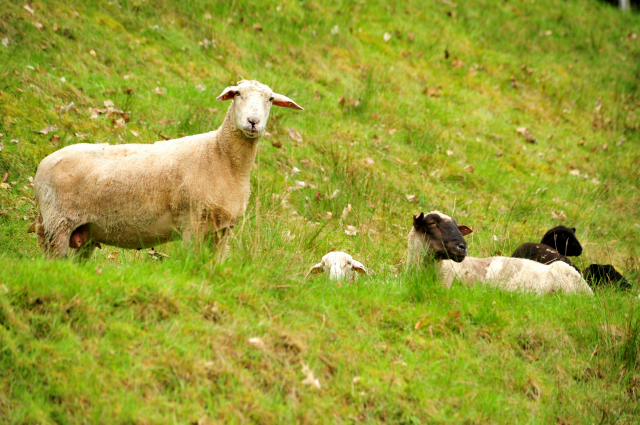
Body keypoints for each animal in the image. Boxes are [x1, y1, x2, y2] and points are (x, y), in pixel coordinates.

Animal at [33, 79, 304, 258]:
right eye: (237, 94)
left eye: (270, 99)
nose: (253, 122)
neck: (221, 157)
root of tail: (42, 166)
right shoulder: (193, 222)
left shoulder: (223, 231)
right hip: (57, 224)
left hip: (84, 234)